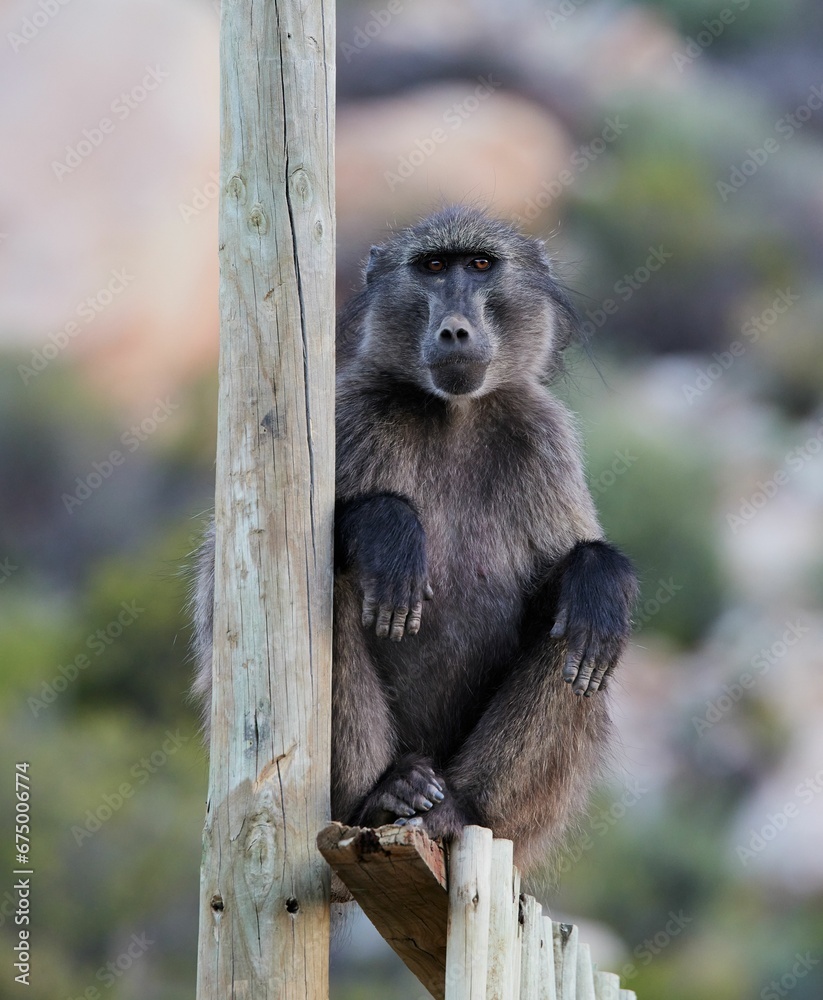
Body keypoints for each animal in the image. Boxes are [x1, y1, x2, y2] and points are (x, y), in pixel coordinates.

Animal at [193, 205, 637, 884]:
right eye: (430, 266)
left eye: (479, 264)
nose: (454, 330)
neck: (453, 415)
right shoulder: (345, 414)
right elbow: (229, 576)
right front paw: (389, 527)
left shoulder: (545, 437)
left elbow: (566, 580)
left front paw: (598, 574)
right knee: (336, 581)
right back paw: (384, 792)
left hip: (510, 818)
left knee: (579, 634)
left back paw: (459, 807)